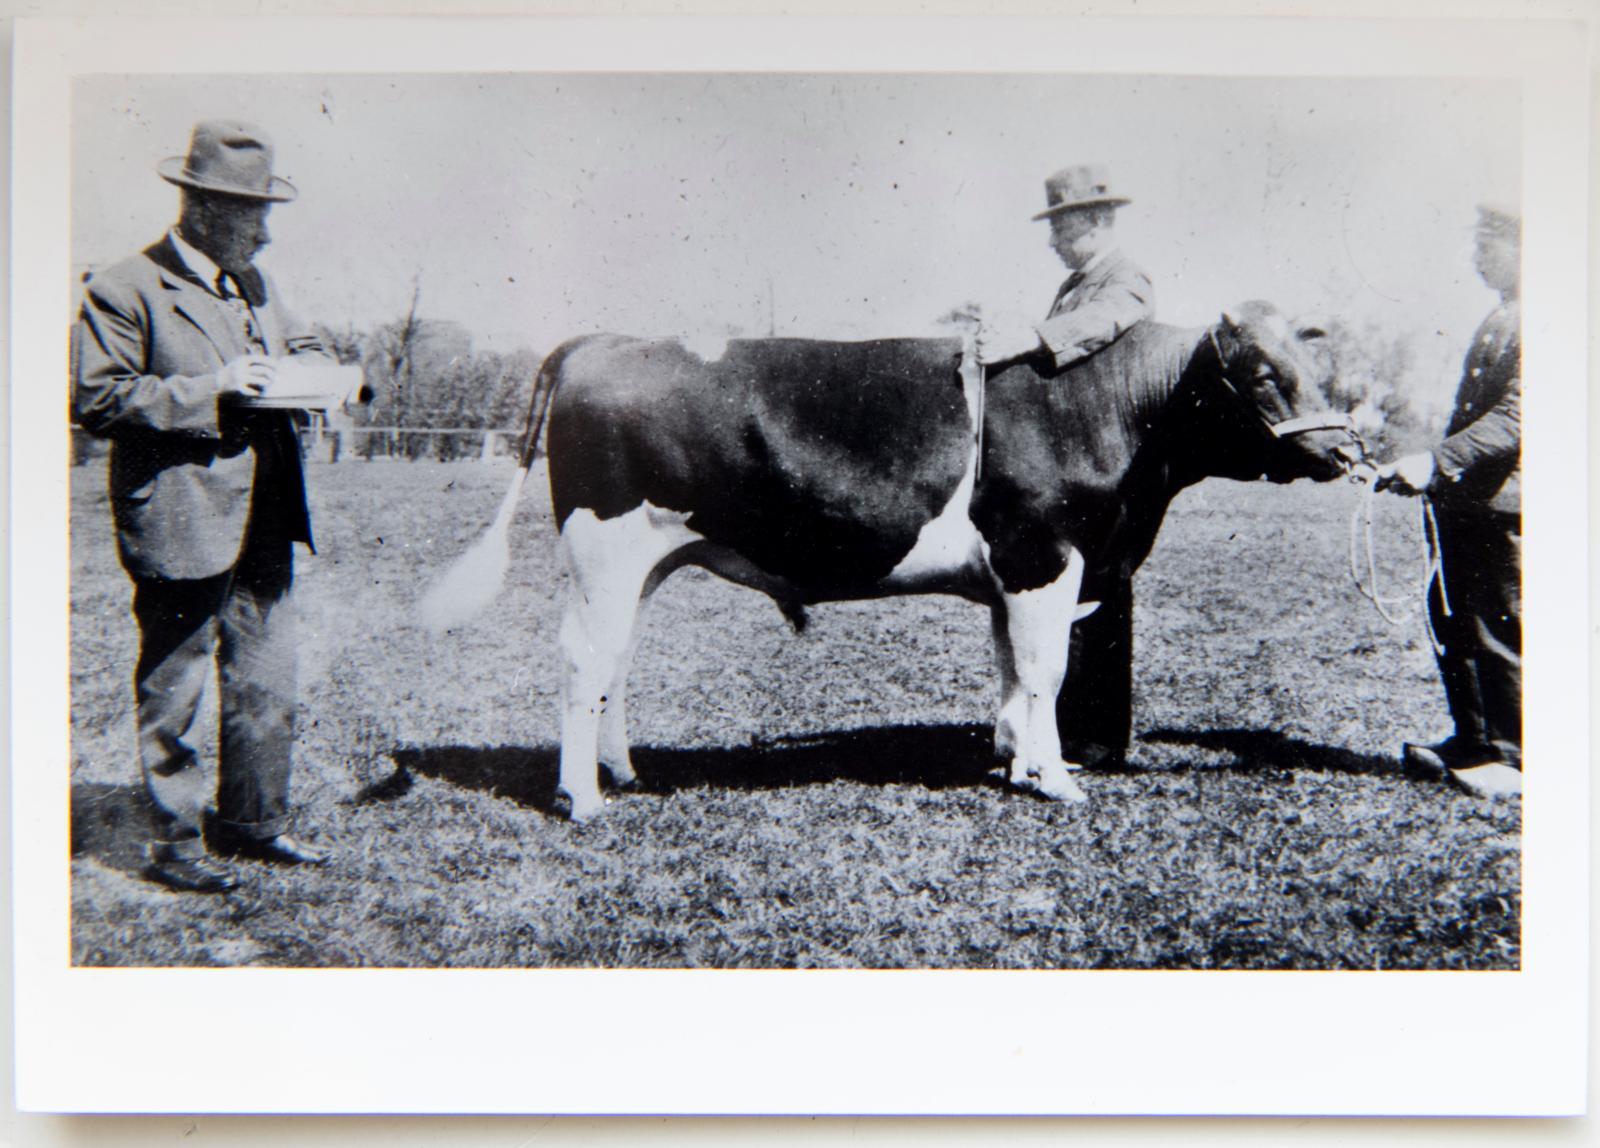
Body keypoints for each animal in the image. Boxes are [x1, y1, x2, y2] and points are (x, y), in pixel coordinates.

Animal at [425, 300, 1363, 825]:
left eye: (1314, 365)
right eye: (1262, 375)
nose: (1346, 452)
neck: (1110, 409)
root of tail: (604, 342)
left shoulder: (1016, 574)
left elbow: (1012, 671)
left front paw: (1015, 761)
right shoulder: (1044, 556)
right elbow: (1047, 670)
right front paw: (1057, 779)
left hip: (641, 562)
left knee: (615, 660)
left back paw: (620, 771)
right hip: (606, 549)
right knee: (585, 662)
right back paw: (581, 800)